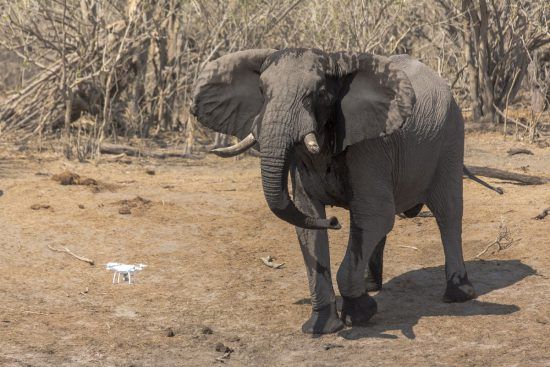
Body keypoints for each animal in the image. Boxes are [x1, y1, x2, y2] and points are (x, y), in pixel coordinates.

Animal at [192, 47, 502, 334]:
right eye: (261, 91)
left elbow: (376, 215)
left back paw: (458, 294)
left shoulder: (370, 147)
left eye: (318, 94)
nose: (334, 221)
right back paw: (370, 285)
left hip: (451, 136)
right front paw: (321, 327)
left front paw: (361, 314)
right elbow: (308, 221)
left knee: (447, 211)